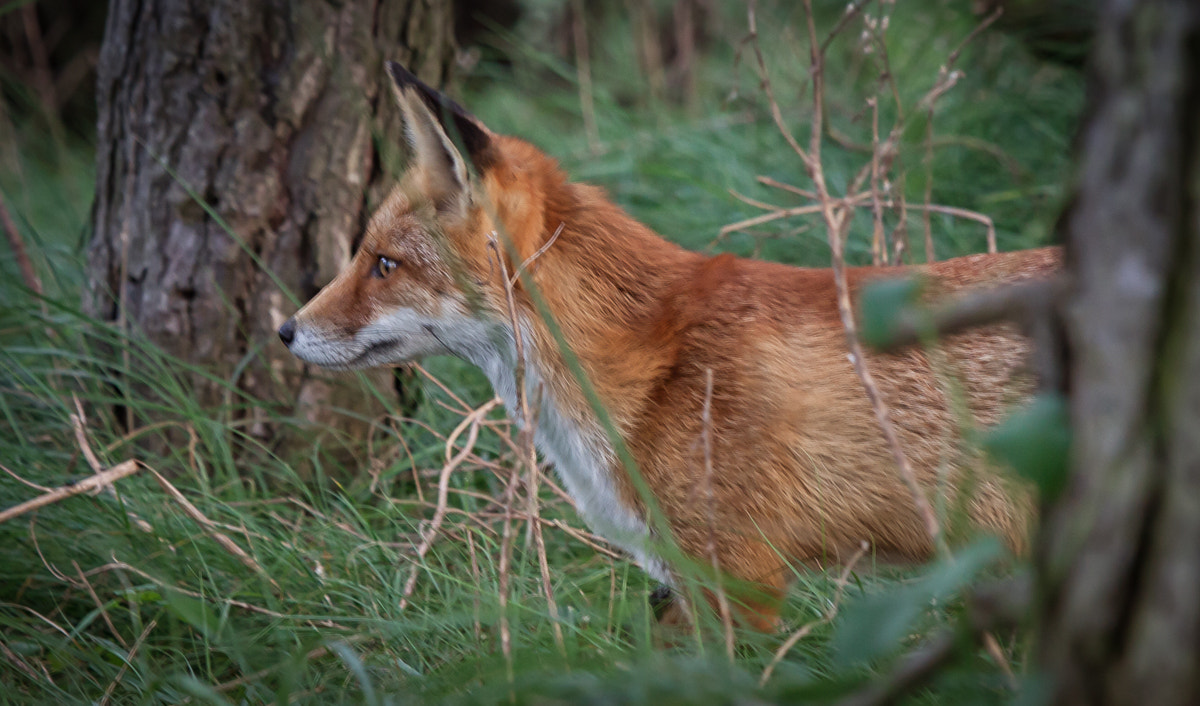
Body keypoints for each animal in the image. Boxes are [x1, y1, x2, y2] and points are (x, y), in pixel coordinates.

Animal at [279, 61, 1057, 631]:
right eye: (366, 254)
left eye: (384, 264)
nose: (285, 330)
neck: (647, 369)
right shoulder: (677, 581)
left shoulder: (738, 579)